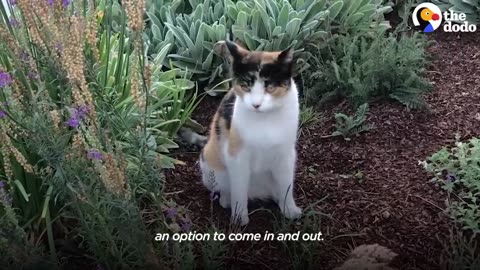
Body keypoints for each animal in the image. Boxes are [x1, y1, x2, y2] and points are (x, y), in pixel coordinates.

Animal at [197, 40, 302, 226]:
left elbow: (286, 185)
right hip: (210, 164)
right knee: (225, 190)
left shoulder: (286, 155)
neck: (265, 119)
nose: (256, 104)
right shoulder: (237, 157)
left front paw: (290, 210)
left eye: (270, 86)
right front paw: (239, 217)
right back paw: (227, 200)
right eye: (246, 85)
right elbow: (239, 189)